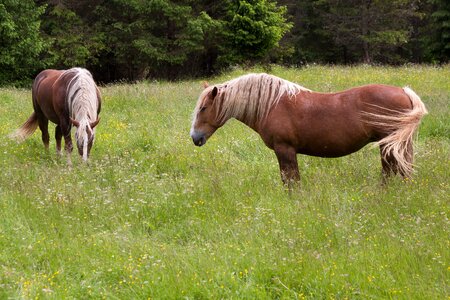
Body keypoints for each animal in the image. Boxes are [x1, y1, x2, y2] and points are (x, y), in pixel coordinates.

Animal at [190, 74, 428, 184]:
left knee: (391, 171)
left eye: (203, 108)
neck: (272, 104)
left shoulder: (285, 150)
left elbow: (291, 181)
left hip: (388, 144)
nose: (195, 137)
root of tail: (403, 91)